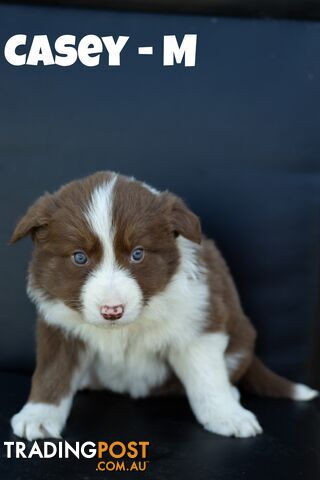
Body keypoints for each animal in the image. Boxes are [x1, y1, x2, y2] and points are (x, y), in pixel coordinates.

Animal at [10, 172, 318, 438]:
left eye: (137, 254)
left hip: (241, 337)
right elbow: (52, 371)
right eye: (79, 257)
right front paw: (38, 416)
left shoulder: (198, 323)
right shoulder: (59, 324)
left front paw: (227, 415)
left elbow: (208, 375)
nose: (112, 311)